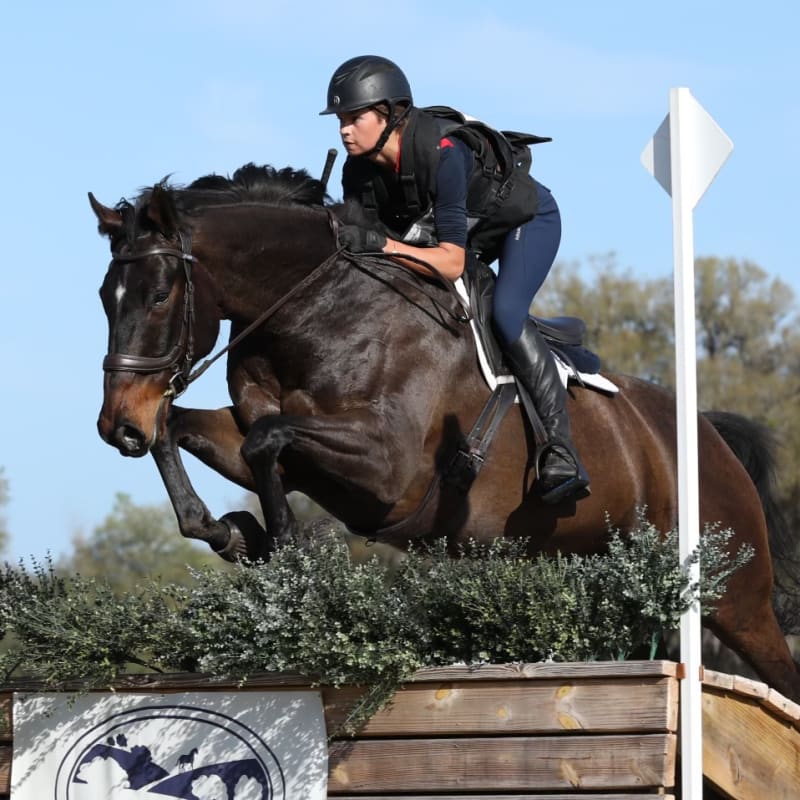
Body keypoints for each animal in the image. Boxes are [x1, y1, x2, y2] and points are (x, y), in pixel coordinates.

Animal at [89, 163, 800, 702]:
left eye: (158, 296)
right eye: (104, 296)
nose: (116, 424)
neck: (314, 310)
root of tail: (707, 434)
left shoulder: (388, 471)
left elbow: (269, 445)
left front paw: (284, 553)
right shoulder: (269, 441)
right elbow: (191, 433)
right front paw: (234, 533)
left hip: (736, 598)